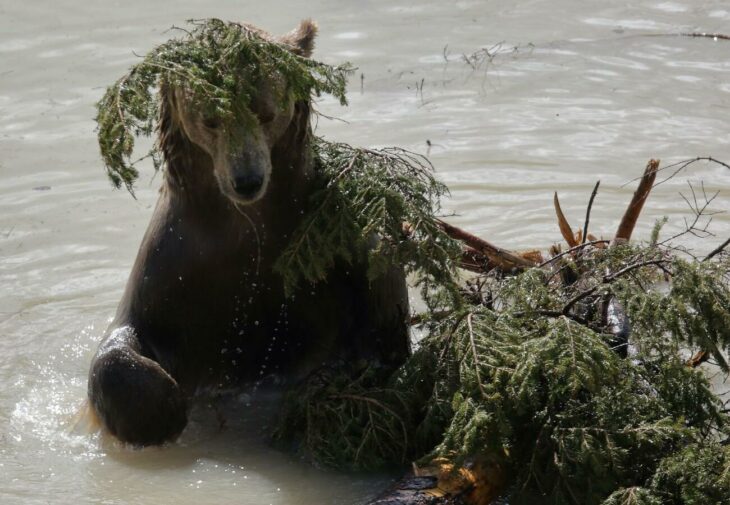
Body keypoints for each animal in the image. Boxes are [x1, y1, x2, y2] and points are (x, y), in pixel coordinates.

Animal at [86, 19, 410, 444]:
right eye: (210, 118)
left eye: (267, 113)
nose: (247, 179)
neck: (246, 226)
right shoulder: (175, 269)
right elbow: (121, 343)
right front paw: (161, 409)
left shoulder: (315, 258)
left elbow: (375, 289)